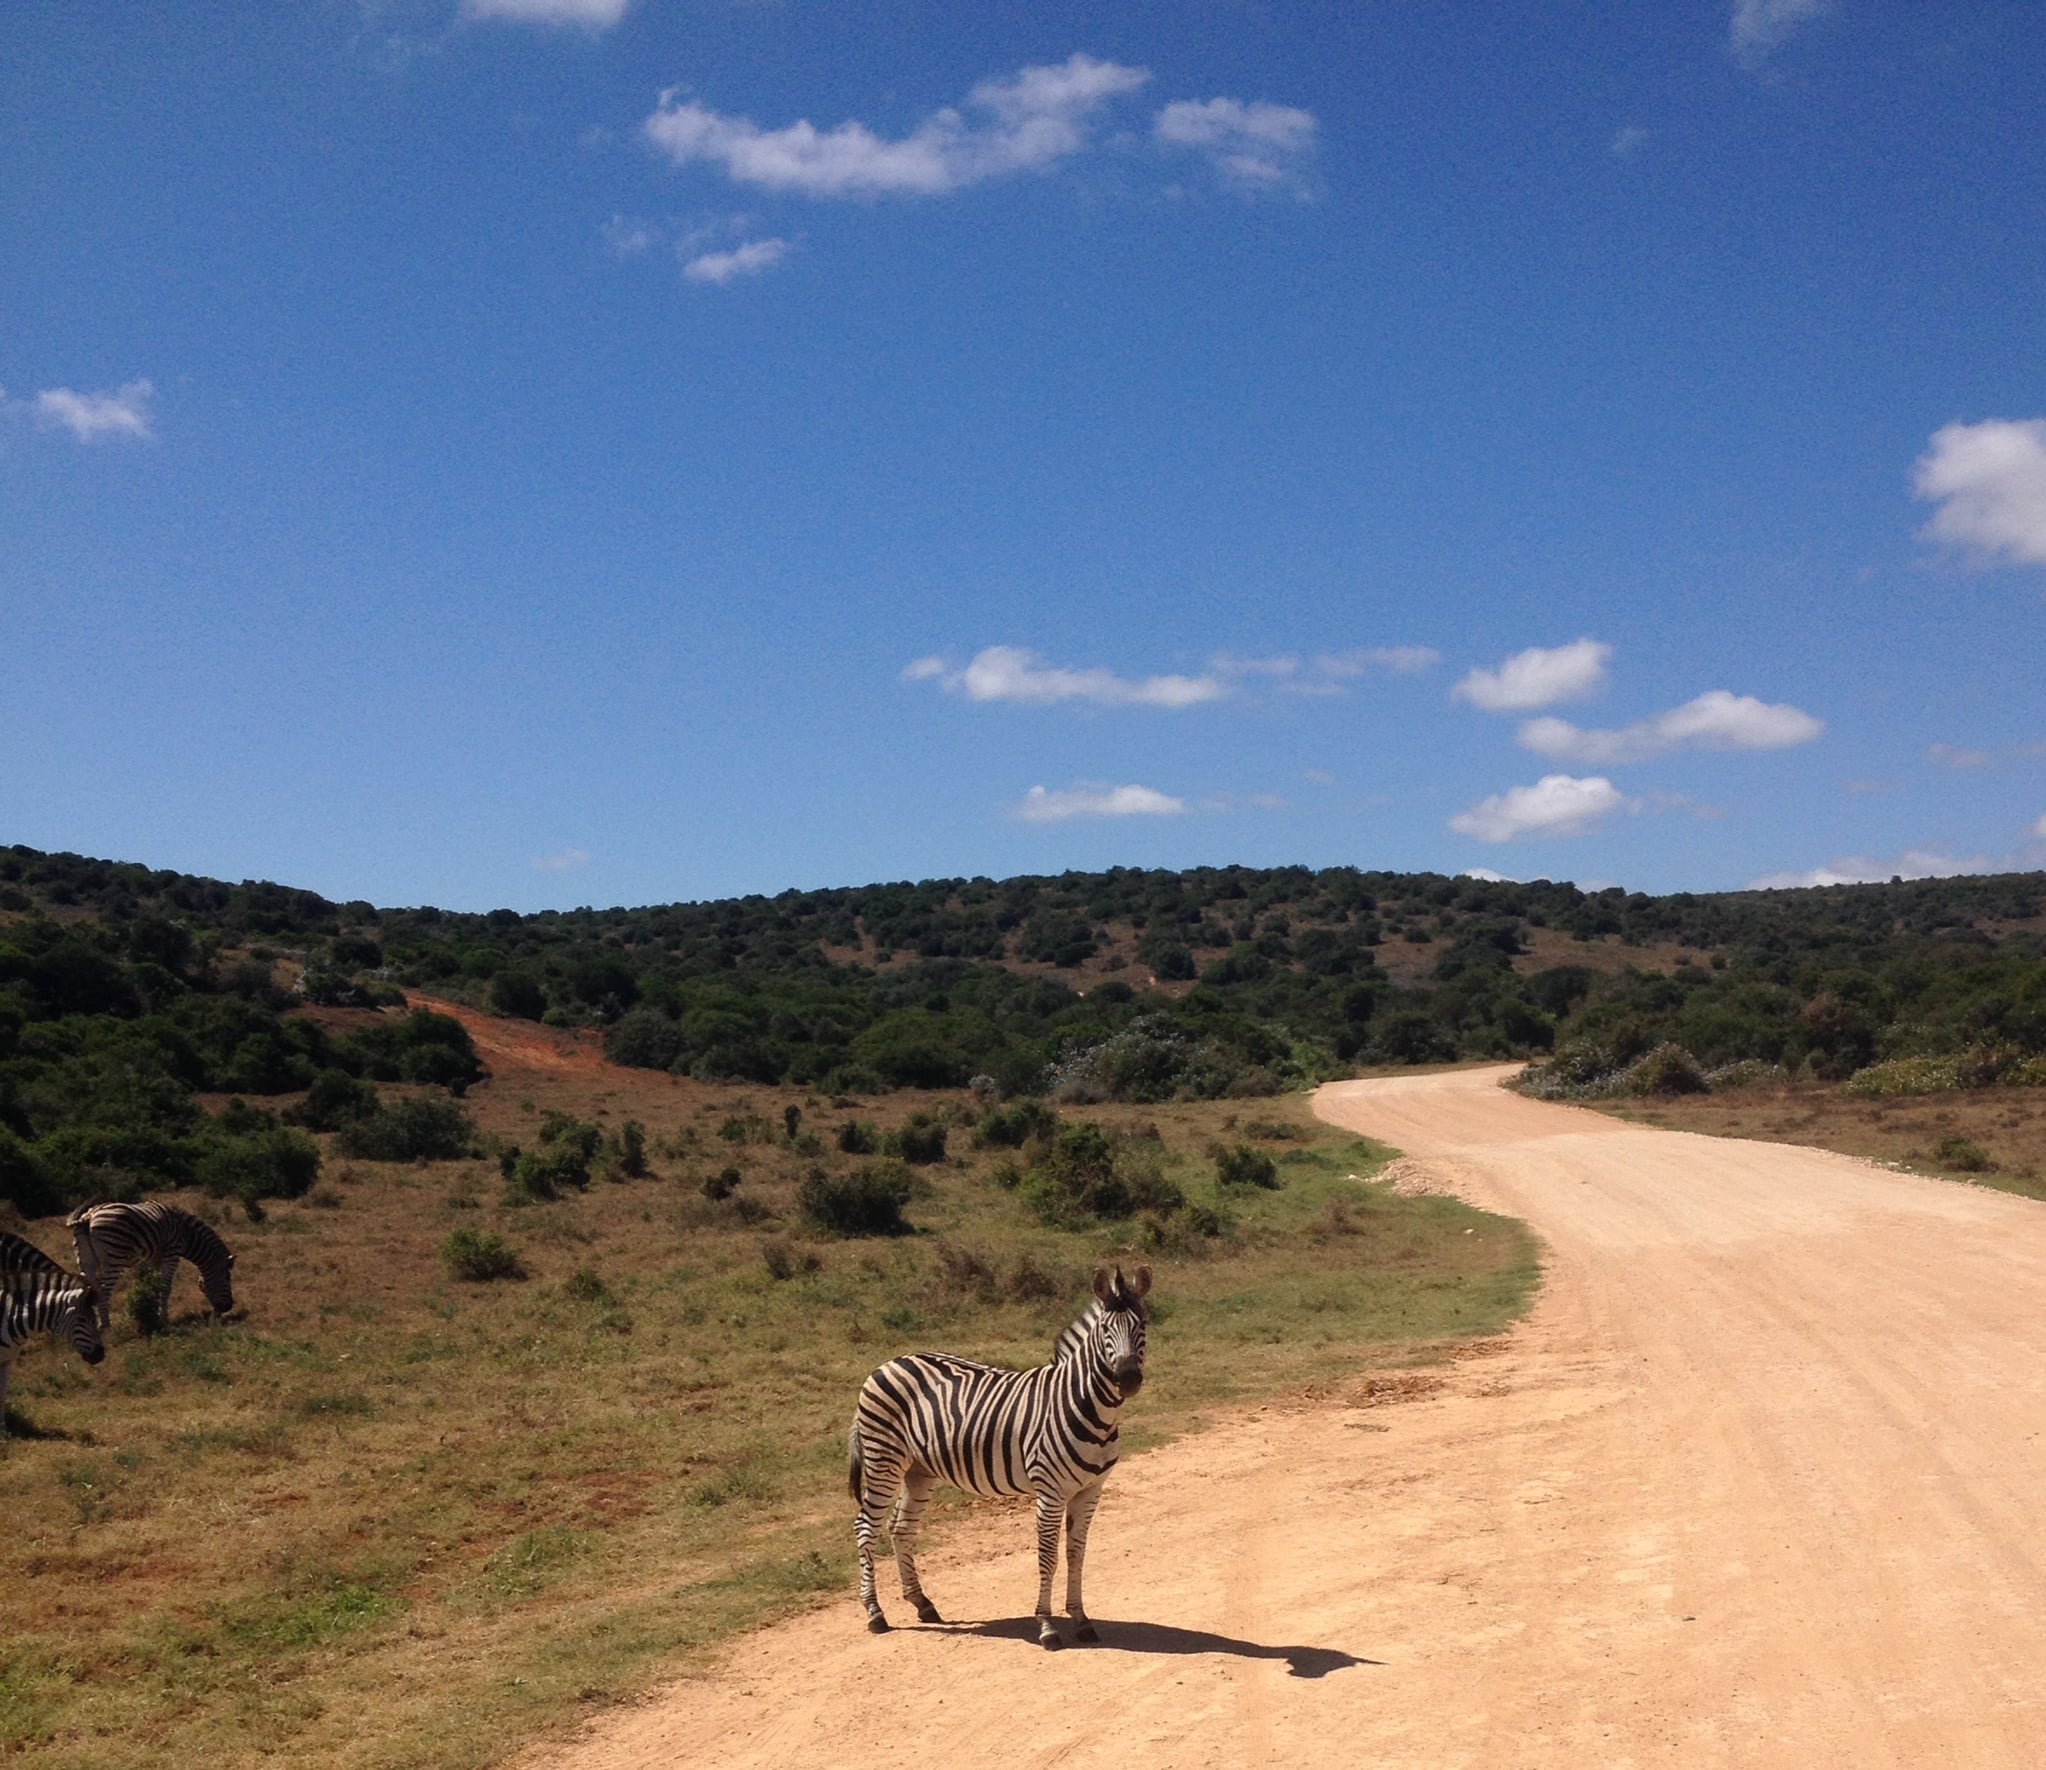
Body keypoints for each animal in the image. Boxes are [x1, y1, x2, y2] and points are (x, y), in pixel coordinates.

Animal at [0, 1268, 105, 1424]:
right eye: (82, 1320)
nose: (100, 1355)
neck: (9, 1317)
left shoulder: (8, 1360)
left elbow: (2, 1394)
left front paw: (2, 1426)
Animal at [64, 1203, 236, 1325]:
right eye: (227, 1278)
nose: (228, 1307)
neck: (186, 1234)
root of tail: (89, 1215)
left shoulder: (155, 1258)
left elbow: (155, 1285)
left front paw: (153, 1313)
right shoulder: (172, 1253)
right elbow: (165, 1287)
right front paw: (164, 1318)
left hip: (86, 1261)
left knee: (88, 1288)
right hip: (115, 1258)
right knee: (104, 1289)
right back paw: (105, 1324)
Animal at [847, 1260, 1153, 1645]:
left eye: (1142, 1325)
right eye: (1105, 1330)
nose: (1127, 1379)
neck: (1088, 1409)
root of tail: (888, 1363)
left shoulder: (1090, 1491)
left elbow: (1076, 1554)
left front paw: (1082, 1620)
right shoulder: (1050, 1491)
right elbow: (1049, 1556)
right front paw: (1047, 1626)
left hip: (919, 1470)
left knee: (901, 1528)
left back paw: (923, 1604)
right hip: (883, 1459)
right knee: (865, 1527)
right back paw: (875, 1613)